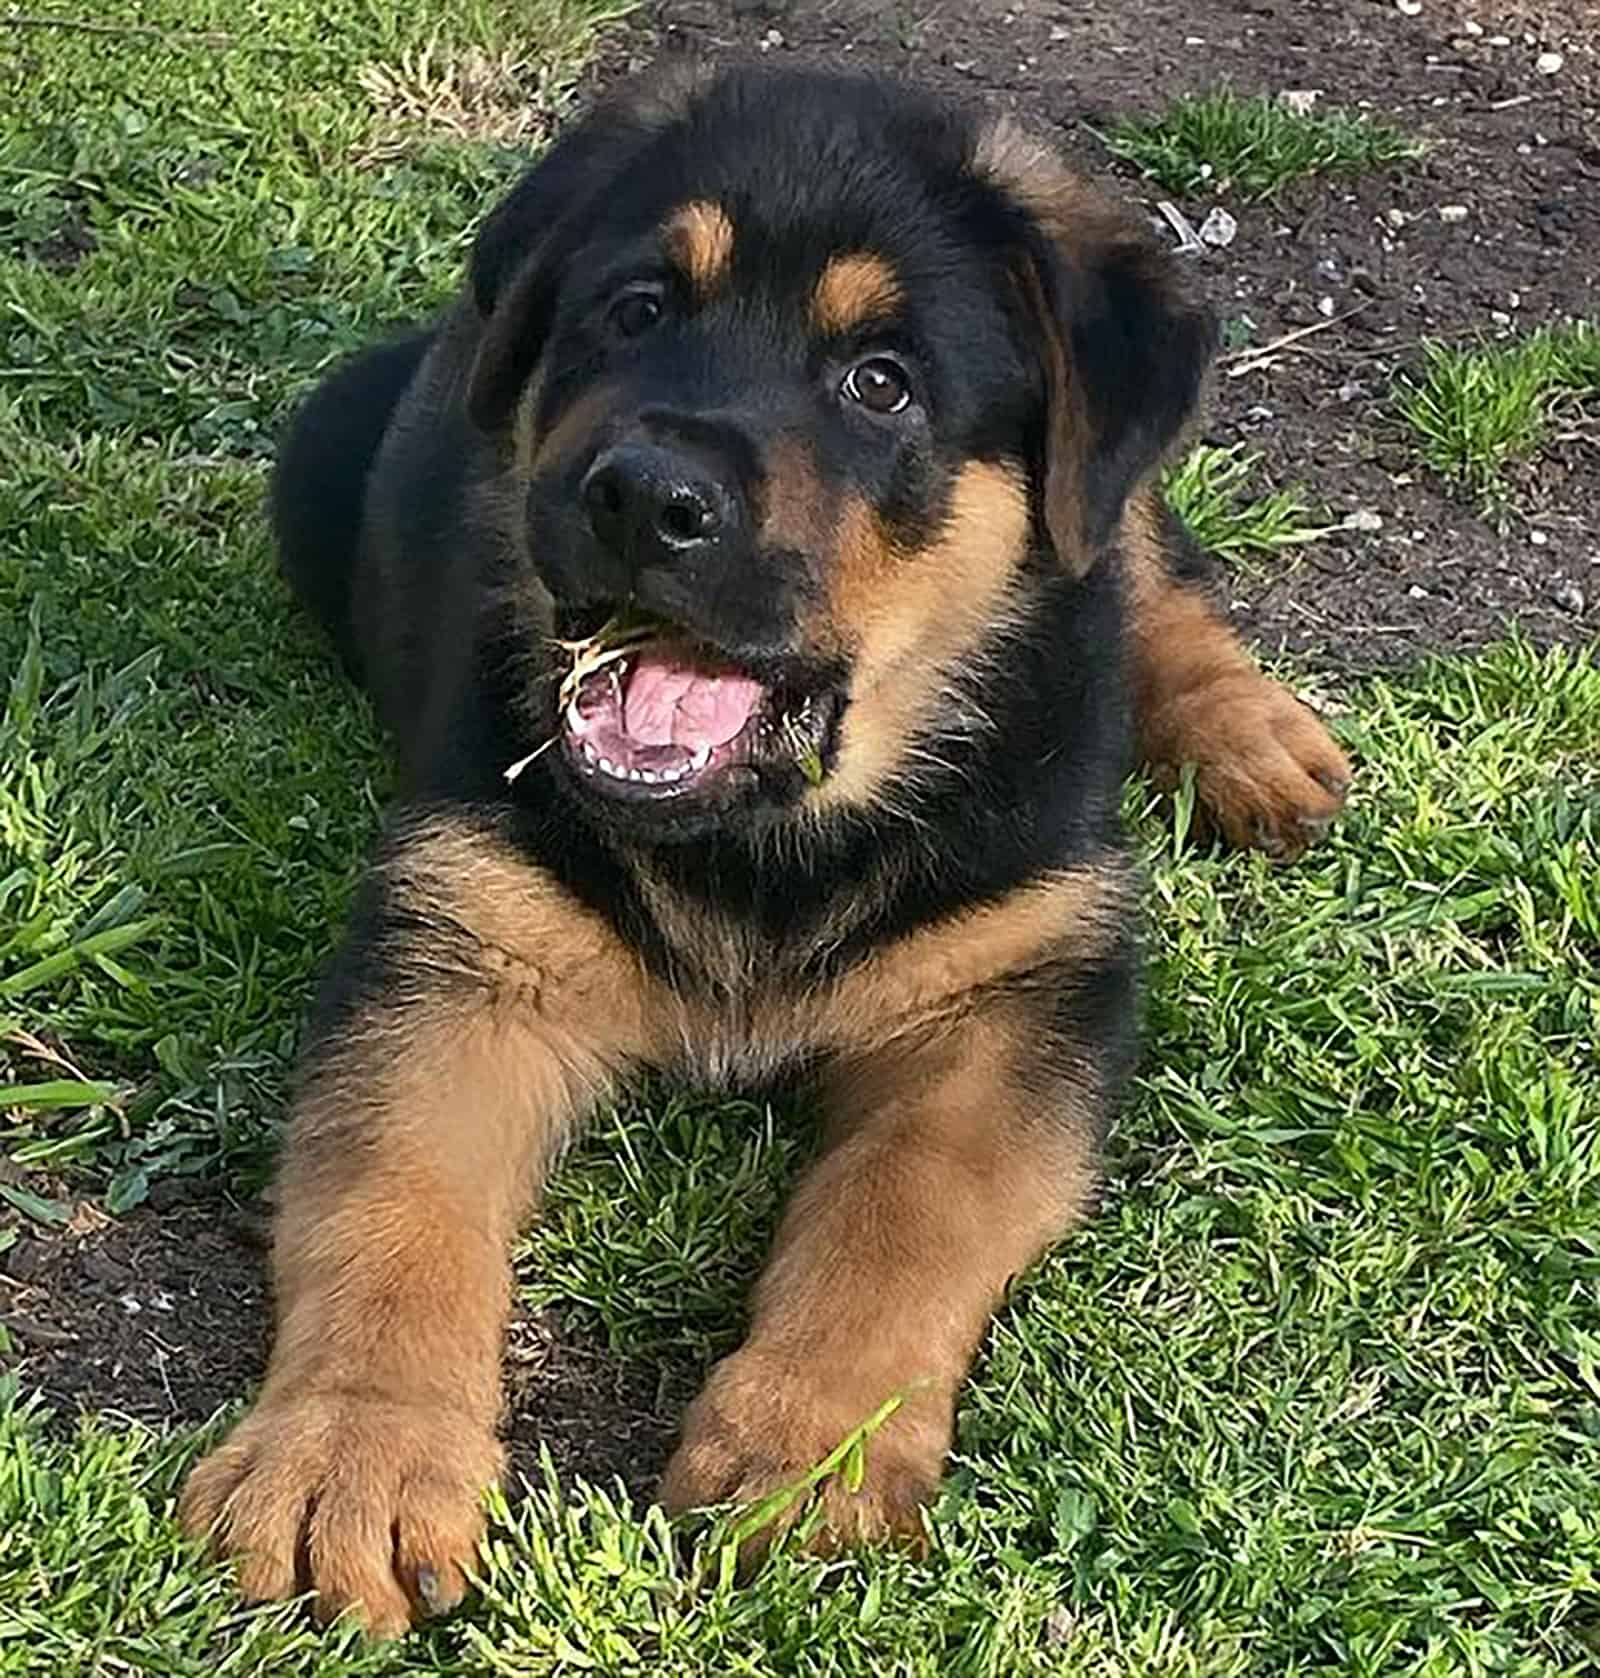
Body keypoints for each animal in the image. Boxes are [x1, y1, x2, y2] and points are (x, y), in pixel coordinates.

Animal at [177, 68, 1348, 1637]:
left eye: (881, 382)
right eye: (634, 312)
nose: (642, 498)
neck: (761, 840)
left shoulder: (1013, 990)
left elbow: (895, 1223)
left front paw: (805, 1452)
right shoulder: (460, 950)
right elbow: (392, 1210)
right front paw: (348, 1457)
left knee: (1141, 554)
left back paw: (1248, 736)